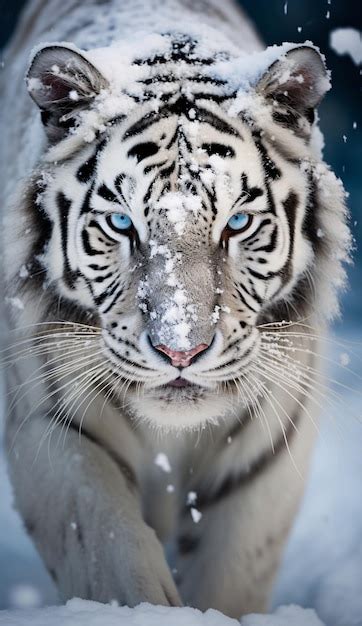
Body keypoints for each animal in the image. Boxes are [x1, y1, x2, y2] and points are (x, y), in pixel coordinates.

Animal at [0, 0, 350, 616]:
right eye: (122, 223)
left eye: (237, 222)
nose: (180, 351)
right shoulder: (50, 424)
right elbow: (106, 543)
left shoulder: (269, 446)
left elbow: (230, 572)